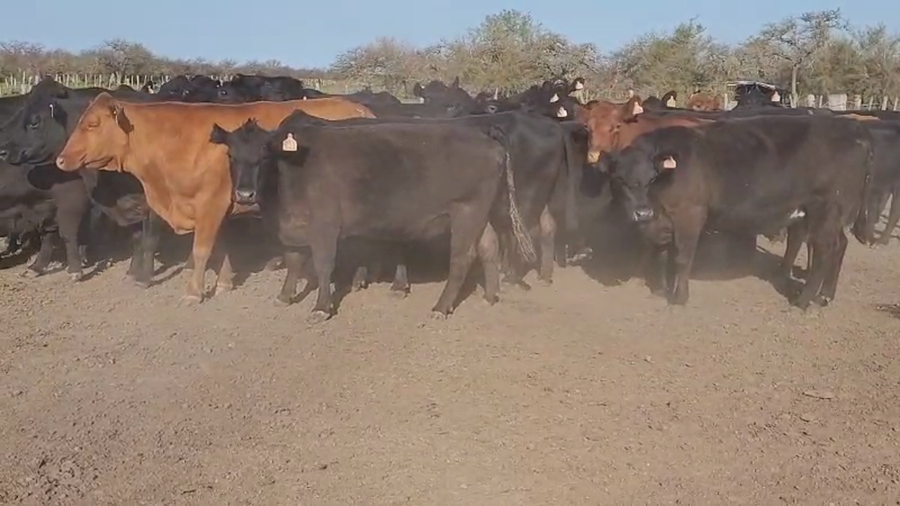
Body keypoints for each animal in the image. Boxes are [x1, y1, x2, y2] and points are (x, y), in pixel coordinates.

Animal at [53, 93, 375, 304]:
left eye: (92, 124)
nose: (60, 159)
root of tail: (362, 110)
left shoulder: (211, 204)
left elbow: (202, 250)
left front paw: (194, 291)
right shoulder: (223, 208)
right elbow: (223, 249)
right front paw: (223, 283)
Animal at [208, 115, 536, 323]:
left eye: (265, 155)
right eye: (230, 156)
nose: (245, 194)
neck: (292, 172)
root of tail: (482, 132)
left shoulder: (325, 226)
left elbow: (323, 265)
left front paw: (321, 308)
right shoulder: (291, 227)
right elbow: (293, 261)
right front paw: (285, 295)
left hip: (467, 212)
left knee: (462, 258)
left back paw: (441, 307)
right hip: (483, 212)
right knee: (489, 248)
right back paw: (490, 295)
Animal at [595, 115, 873, 309]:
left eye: (652, 178)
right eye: (619, 179)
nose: (641, 212)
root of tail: (853, 131)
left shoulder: (690, 215)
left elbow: (682, 258)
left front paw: (679, 297)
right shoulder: (662, 222)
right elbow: (662, 254)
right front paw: (660, 289)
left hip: (825, 212)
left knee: (825, 250)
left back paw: (804, 300)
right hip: (830, 217)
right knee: (840, 245)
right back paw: (825, 295)